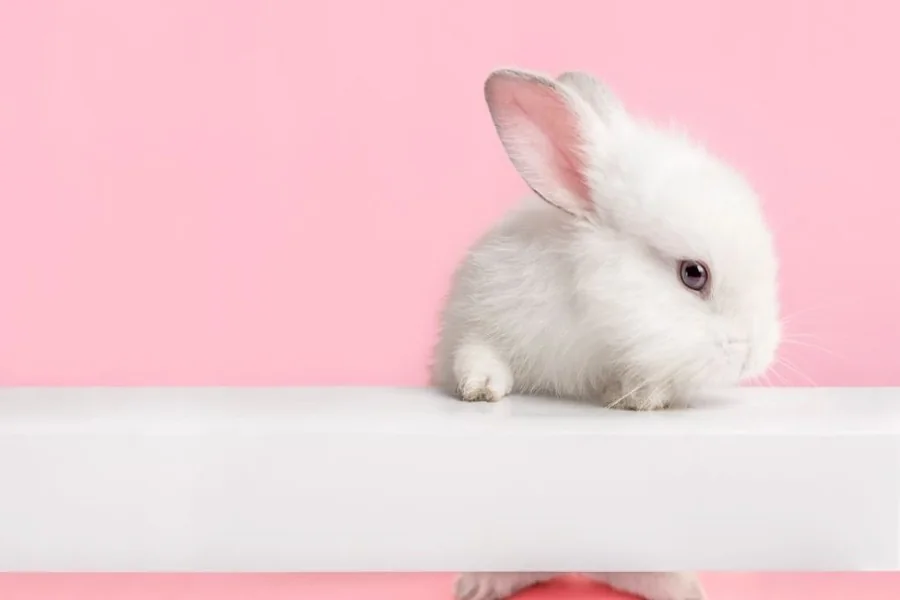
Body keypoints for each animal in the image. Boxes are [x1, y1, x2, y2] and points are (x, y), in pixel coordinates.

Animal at [431, 67, 782, 600]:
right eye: (693, 274)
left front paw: (636, 396)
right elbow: (477, 355)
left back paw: (682, 587)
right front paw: (482, 389)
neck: (596, 323)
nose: (755, 354)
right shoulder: (475, 319)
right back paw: (479, 585)